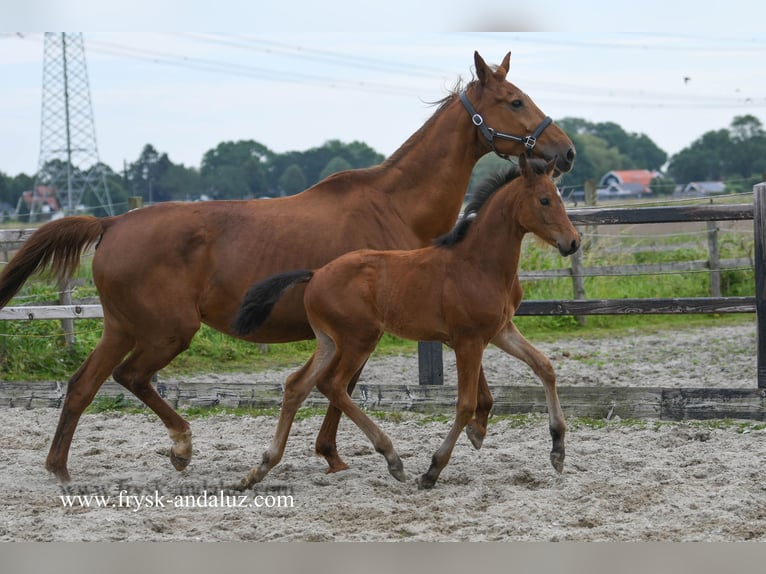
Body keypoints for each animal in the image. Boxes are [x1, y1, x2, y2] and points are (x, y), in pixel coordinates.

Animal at [234, 156, 584, 490]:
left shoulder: (501, 331)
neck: (479, 264)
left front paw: (558, 451)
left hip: (329, 341)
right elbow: (465, 404)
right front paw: (432, 470)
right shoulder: (469, 340)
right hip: (360, 338)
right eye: (544, 200)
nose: (573, 242)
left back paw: (259, 469)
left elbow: (545, 367)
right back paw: (392, 458)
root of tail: (316, 273)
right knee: (333, 385)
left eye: (560, 197)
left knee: (298, 385)